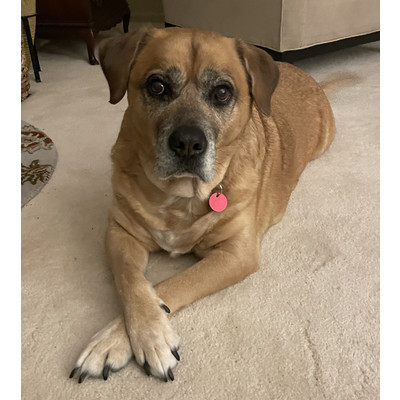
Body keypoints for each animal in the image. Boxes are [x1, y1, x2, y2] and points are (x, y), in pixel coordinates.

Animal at [69, 26, 334, 382]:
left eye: (222, 92)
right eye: (157, 86)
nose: (188, 143)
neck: (181, 195)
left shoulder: (235, 254)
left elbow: (173, 283)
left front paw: (140, 337)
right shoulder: (120, 232)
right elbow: (130, 281)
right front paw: (136, 333)